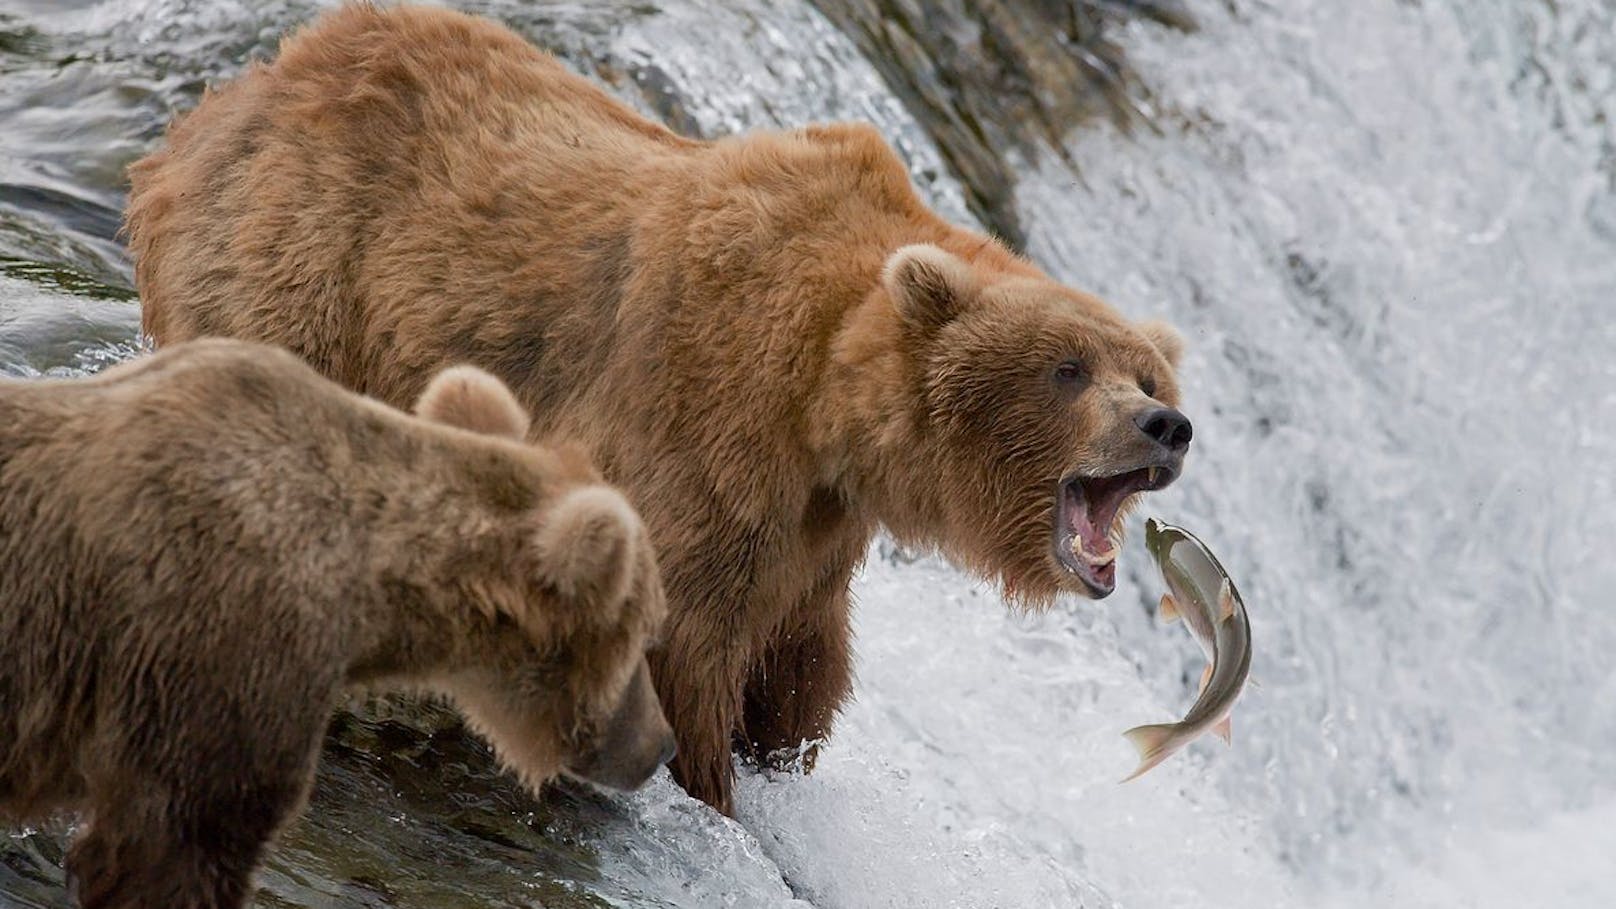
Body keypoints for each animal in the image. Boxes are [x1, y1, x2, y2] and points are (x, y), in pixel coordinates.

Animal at [122, 1, 1189, 815]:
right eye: (1068, 367)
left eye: (1145, 374)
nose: (1166, 427)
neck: (827, 405)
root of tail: (230, 96)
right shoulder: (707, 416)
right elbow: (687, 637)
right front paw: (710, 786)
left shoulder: (816, 529)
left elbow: (800, 668)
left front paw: (774, 751)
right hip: (300, 267)